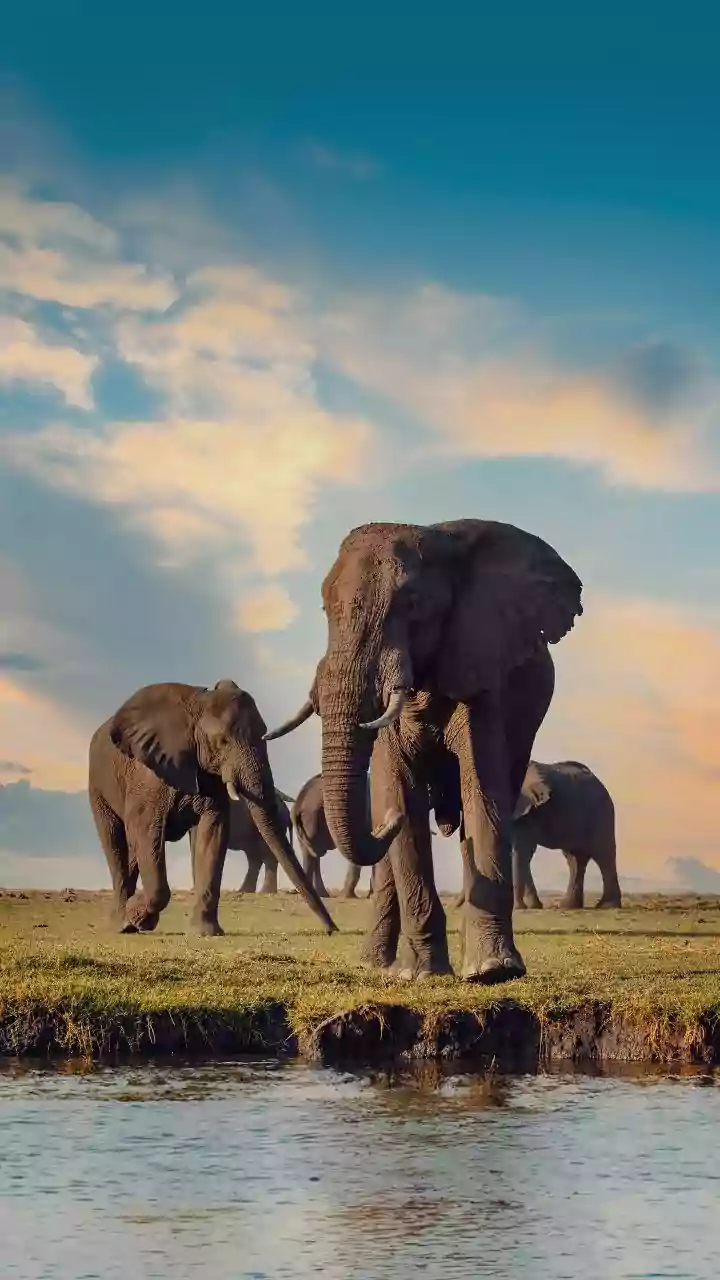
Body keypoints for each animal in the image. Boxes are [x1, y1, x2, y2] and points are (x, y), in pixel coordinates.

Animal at [88, 679, 337, 936]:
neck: (198, 706)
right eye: (222, 742)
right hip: (97, 785)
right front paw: (137, 914)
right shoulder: (148, 776)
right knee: (116, 843)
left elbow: (212, 833)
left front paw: (205, 932)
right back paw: (122, 922)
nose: (332, 929)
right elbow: (147, 829)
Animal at [265, 519, 582, 985]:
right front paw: (425, 974)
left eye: (413, 605)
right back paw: (380, 964)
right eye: (325, 610)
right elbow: (401, 795)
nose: (386, 821)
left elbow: (483, 792)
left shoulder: (481, 665)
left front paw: (492, 971)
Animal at [511, 760, 622, 910]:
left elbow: (522, 851)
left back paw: (607, 906)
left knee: (604, 855)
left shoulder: (530, 811)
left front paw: (521, 908)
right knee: (575, 859)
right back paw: (568, 906)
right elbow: (523, 854)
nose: (520, 906)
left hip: (601, 812)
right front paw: (534, 906)